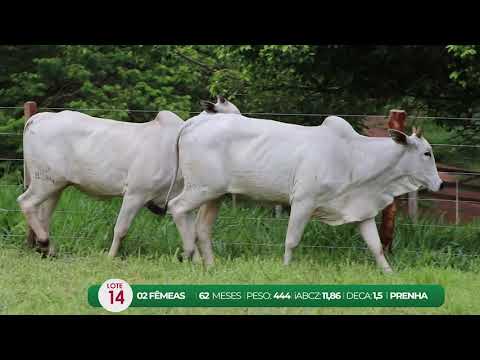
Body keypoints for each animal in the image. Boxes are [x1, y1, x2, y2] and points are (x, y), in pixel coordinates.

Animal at [17, 96, 242, 258]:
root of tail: (39, 118)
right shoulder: (136, 193)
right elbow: (121, 229)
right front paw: (110, 257)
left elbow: (190, 233)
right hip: (45, 181)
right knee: (26, 202)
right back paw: (44, 243)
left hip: (57, 185)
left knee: (43, 215)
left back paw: (47, 249)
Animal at [165, 114, 442, 272]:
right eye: (426, 153)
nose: (440, 184)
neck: (353, 157)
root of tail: (194, 122)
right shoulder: (303, 202)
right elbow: (292, 240)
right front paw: (286, 269)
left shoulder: (361, 211)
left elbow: (376, 247)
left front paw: (389, 273)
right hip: (201, 188)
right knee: (177, 208)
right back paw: (190, 256)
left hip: (215, 195)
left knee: (202, 228)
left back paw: (209, 266)